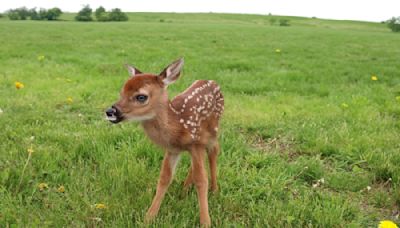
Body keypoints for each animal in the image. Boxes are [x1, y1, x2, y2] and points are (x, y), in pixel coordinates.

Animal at [106, 58, 223, 225]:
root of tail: (213, 82)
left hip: (213, 131)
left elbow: (201, 180)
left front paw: (205, 222)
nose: (110, 112)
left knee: (214, 152)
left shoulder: (197, 144)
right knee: (195, 165)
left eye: (141, 97)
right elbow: (164, 178)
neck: (178, 124)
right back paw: (184, 191)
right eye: (121, 93)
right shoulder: (173, 149)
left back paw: (214, 190)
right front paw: (149, 217)